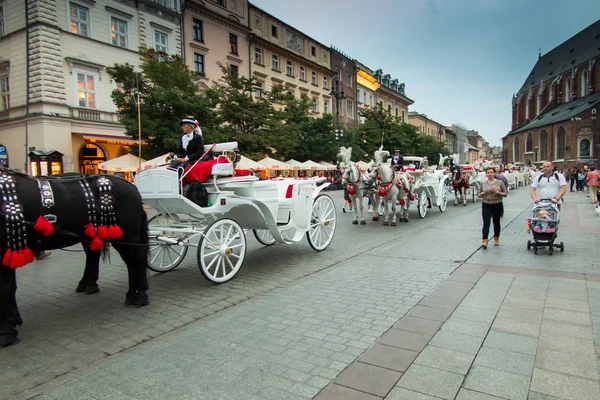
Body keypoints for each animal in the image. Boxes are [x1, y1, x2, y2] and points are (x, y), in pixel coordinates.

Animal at [0, 170, 150, 346]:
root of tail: (132, 187)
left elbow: (6, 288)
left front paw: (7, 330)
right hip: (114, 235)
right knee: (128, 262)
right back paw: (130, 293)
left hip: (128, 234)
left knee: (137, 258)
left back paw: (140, 295)